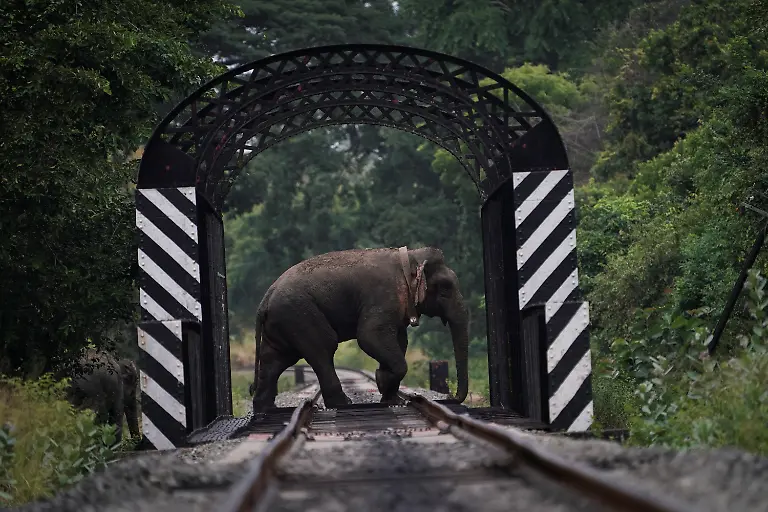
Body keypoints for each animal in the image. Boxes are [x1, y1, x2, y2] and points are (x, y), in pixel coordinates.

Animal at [250, 246, 469, 412]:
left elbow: (400, 340)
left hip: (282, 322)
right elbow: (369, 336)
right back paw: (343, 404)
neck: (411, 257)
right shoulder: (383, 296)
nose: (449, 400)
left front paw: (391, 395)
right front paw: (382, 380)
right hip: (298, 315)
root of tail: (264, 300)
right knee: (323, 347)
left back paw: (266, 408)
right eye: (445, 289)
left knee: (276, 359)